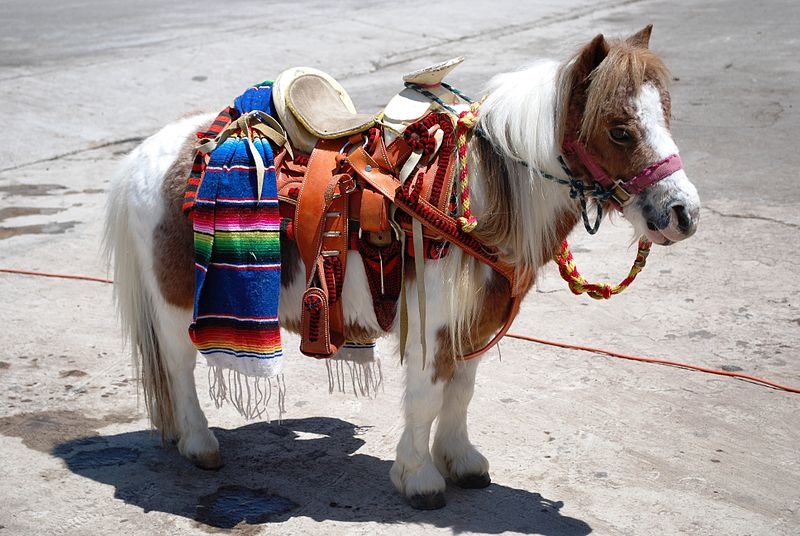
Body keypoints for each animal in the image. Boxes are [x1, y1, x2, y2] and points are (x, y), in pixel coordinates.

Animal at [104, 26, 700, 510]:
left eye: (667, 115)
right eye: (619, 129)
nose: (683, 213)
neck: (474, 195)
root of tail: (148, 152)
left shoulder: (473, 319)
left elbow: (461, 390)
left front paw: (461, 460)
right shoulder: (431, 320)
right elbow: (427, 393)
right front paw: (419, 478)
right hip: (175, 299)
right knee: (180, 366)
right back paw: (199, 444)